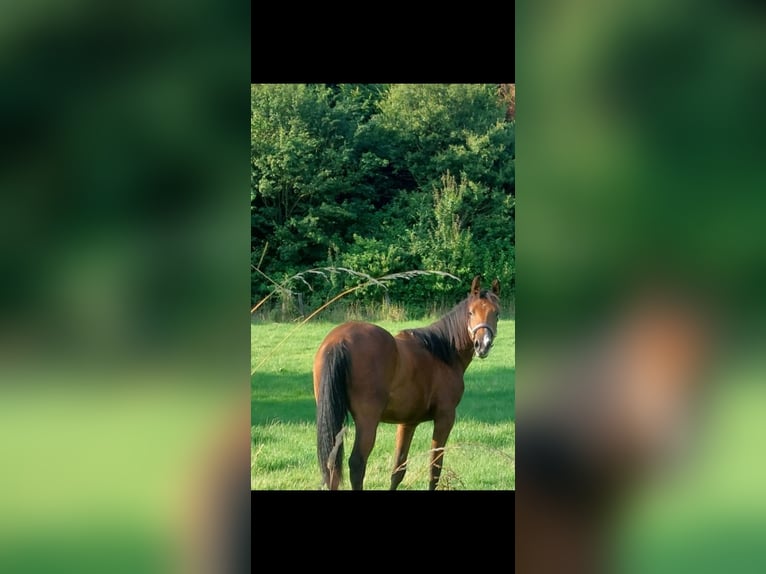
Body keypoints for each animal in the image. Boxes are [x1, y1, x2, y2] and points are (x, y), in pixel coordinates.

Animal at [313, 275, 501, 490]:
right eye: (471, 312)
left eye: (496, 314)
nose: (483, 345)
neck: (442, 353)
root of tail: (340, 340)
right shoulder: (445, 418)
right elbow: (434, 469)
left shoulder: (407, 422)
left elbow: (398, 470)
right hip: (367, 421)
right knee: (357, 464)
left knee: (332, 467)